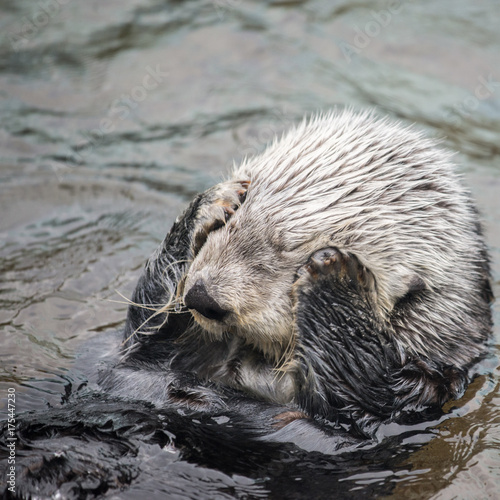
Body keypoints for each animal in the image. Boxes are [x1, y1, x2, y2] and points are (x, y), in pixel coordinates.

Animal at [100, 108, 492, 438]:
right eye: (232, 224)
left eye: (291, 252)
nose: (202, 297)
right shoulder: (134, 357)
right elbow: (137, 332)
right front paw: (213, 202)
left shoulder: (417, 393)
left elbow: (363, 392)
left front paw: (336, 275)